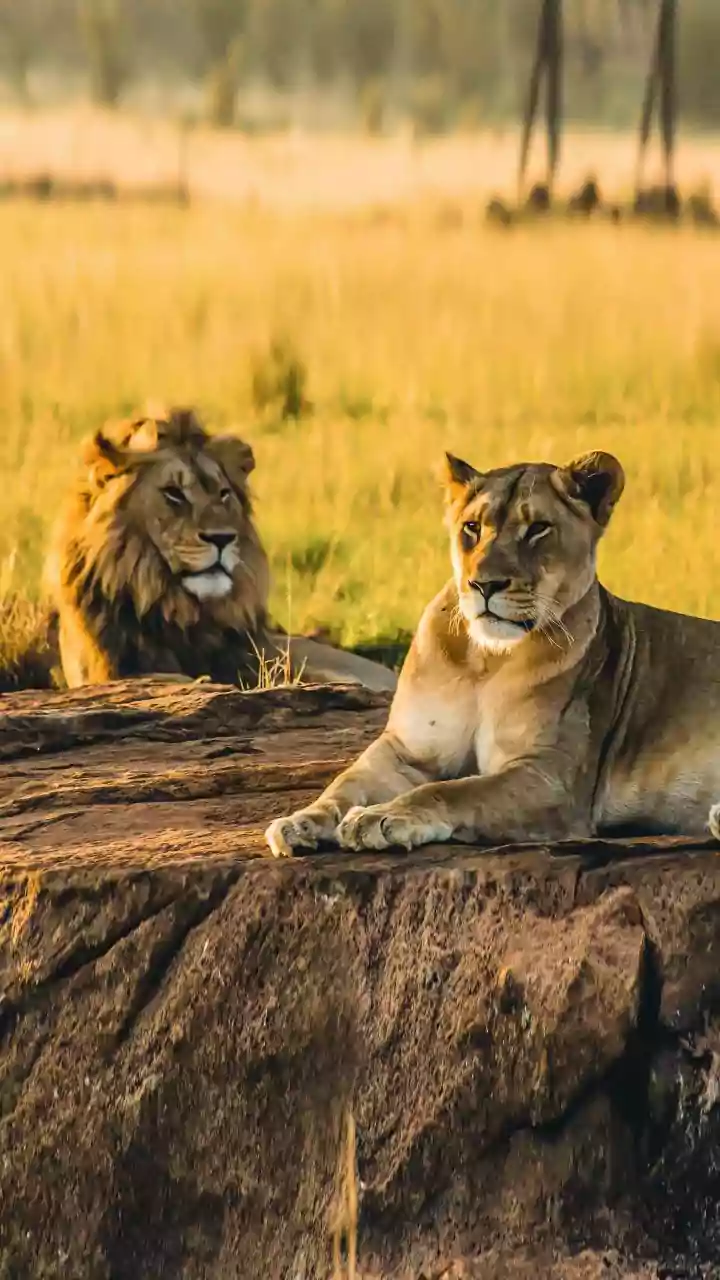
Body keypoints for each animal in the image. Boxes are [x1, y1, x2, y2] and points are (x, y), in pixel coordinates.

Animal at [266, 447, 720, 857]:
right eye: (472, 527)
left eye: (538, 528)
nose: (485, 584)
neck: (485, 661)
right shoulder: (407, 749)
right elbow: (346, 783)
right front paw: (300, 822)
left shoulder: (550, 776)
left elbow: (456, 791)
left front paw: (379, 817)